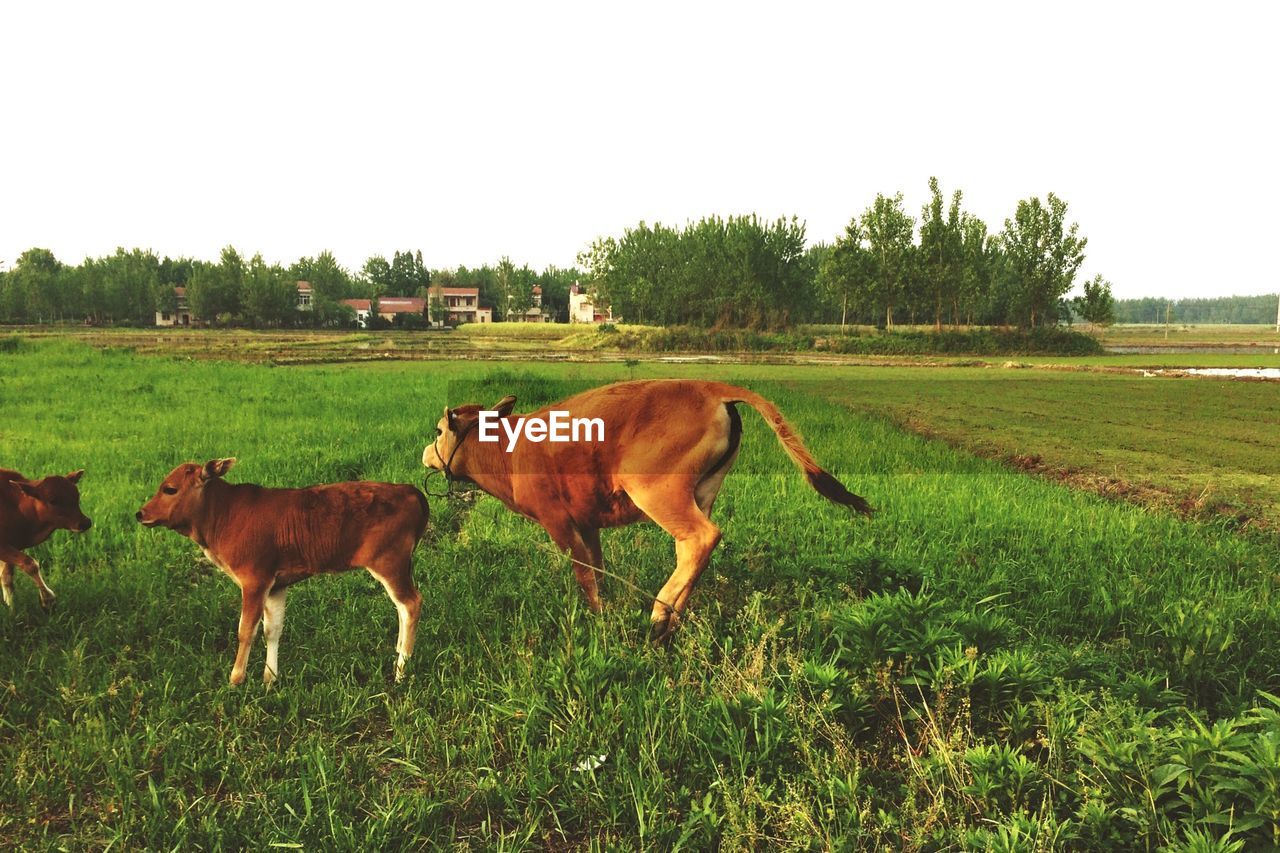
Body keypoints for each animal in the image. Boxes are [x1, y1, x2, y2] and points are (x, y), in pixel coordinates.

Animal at [0, 466, 91, 612]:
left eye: (77, 495)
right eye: (52, 501)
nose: (85, 522)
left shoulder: (13, 544)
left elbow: (6, 577)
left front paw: (12, 609)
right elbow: (30, 564)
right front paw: (48, 600)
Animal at [137, 458, 430, 686]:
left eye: (170, 489)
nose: (140, 513)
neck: (224, 514)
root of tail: (409, 490)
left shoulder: (254, 579)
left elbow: (246, 630)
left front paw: (236, 679)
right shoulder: (276, 584)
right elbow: (273, 629)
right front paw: (270, 679)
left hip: (390, 563)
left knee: (411, 604)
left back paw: (401, 670)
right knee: (402, 608)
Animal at [419, 379, 870, 637]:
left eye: (439, 430)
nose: (425, 453)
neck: (508, 449)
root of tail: (713, 388)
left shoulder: (558, 521)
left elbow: (584, 574)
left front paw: (597, 614)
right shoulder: (587, 522)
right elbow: (598, 567)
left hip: (656, 490)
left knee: (702, 538)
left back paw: (657, 617)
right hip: (702, 491)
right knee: (691, 549)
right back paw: (672, 618)